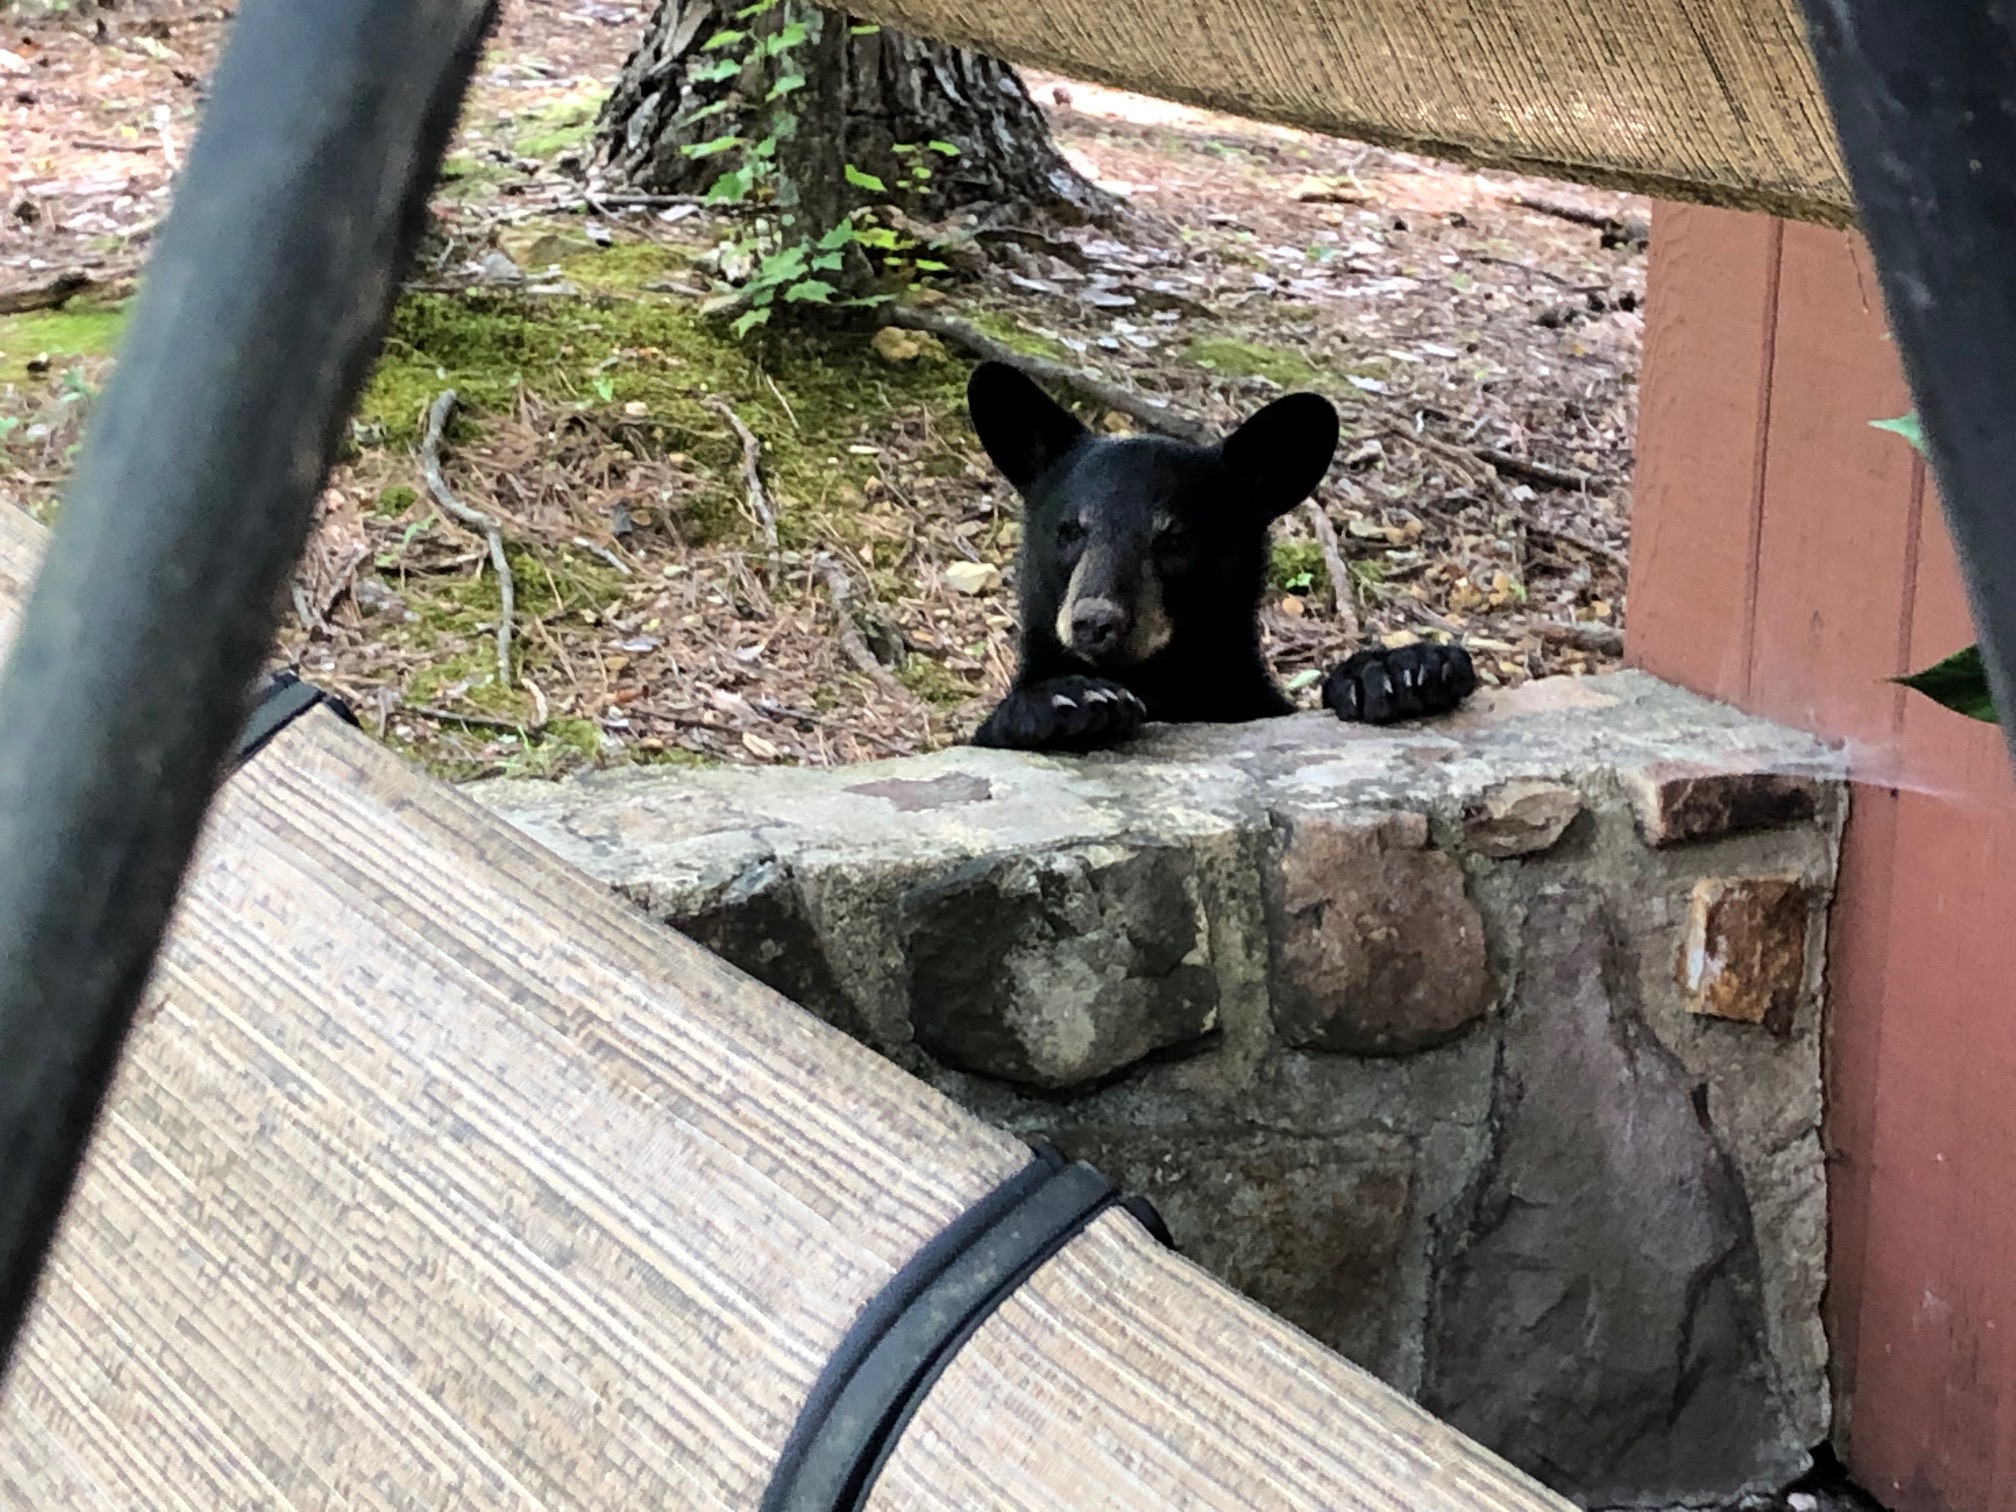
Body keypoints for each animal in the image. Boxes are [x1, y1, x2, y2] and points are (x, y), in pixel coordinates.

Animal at [962, 360, 1477, 752]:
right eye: (1070, 531)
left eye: (1175, 541)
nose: (1095, 621)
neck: (1158, 684)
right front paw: (1064, 700)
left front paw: (1398, 670)